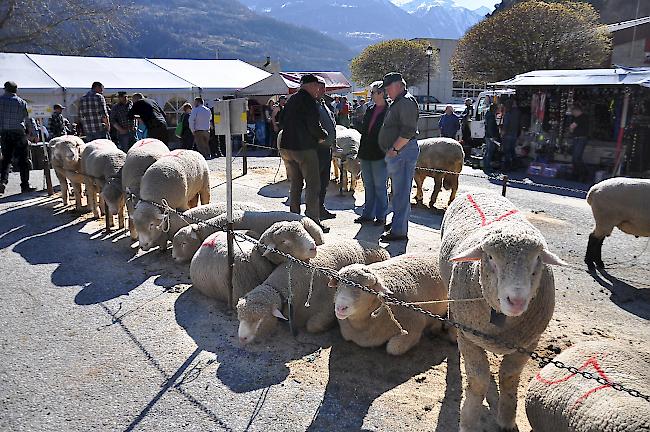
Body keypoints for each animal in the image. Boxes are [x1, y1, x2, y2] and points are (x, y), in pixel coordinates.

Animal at [438, 192, 564, 432]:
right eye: (490, 258)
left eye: (537, 259)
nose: (516, 300)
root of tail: (479, 191)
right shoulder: (468, 338)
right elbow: (479, 381)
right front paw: (467, 421)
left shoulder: (529, 343)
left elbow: (509, 378)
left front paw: (506, 420)